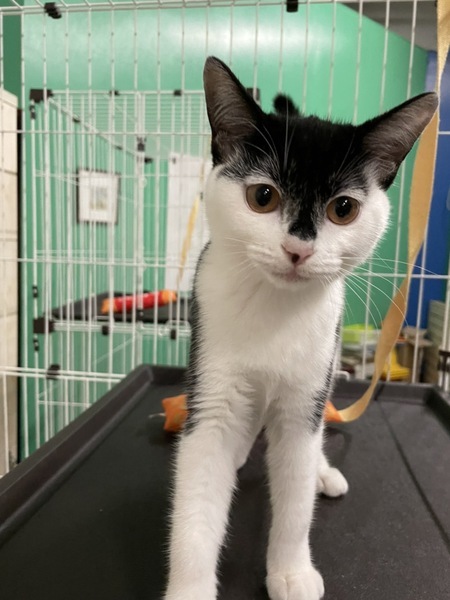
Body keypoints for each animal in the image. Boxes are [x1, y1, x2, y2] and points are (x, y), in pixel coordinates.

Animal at [164, 56, 437, 600]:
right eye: (262, 197)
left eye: (344, 208)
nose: (298, 250)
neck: (275, 307)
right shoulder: (212, 383)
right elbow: (198, 493)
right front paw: (189, 587)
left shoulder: (306, 394)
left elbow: (294, 490)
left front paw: (290, 570)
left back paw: (322, 473)